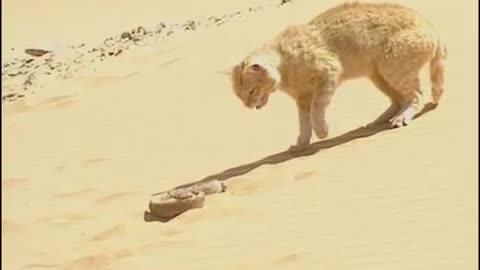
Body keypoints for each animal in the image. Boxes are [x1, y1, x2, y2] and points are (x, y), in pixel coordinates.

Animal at [230, 1, 446, 153]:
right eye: (240, 96)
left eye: (252, 91)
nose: (248, 106)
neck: (284, 63)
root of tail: (431, 25)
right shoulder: (303, 99)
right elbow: (304, 124)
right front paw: (301, 145)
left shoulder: (328, 76)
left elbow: (317, 112)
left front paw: (322, 131)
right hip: (379, 75)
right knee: (398, 99)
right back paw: (382, 119)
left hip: (393, 69)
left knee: (415, 95)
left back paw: (402, 117)